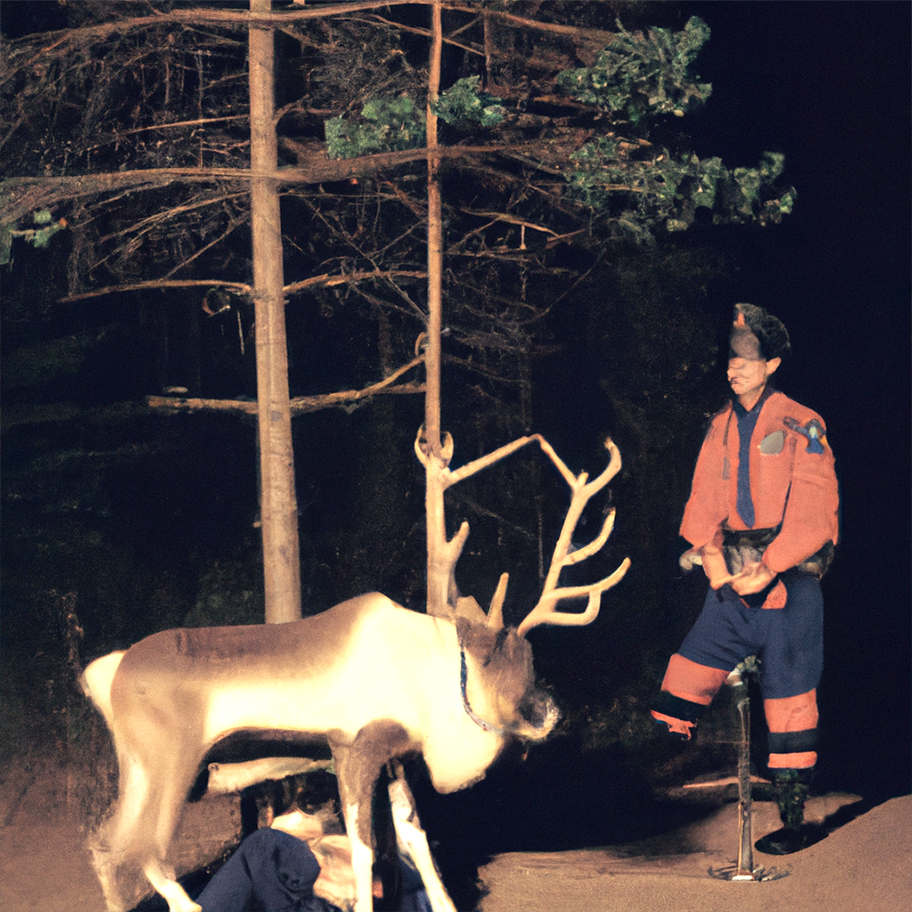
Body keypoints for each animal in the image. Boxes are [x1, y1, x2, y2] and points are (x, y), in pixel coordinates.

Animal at [80, 432, 629, 912]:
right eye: (495, 654)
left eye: (531, 656)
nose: (546, 712)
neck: (433, 675)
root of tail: (108, 673)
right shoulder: (353, 748)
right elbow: (365, 850)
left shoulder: (396, 758)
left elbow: (416, 842)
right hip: (171, 764)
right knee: (144, 848)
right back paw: (186, 902)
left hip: (146, 769)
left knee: (105, 843)